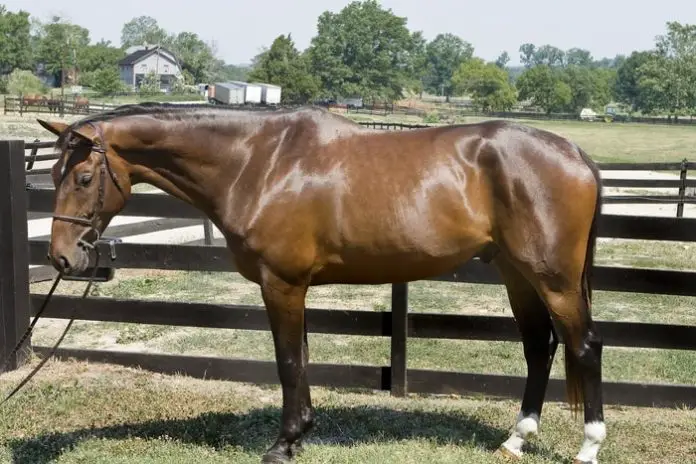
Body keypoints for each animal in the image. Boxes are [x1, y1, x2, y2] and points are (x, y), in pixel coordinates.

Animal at [36, 103, 605, 464]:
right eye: (53, 174)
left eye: (82, 178)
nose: (62, 257)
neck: (259, 162)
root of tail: (576, 153)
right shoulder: (296, 288)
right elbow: (303, 360)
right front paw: (301, 435)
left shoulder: (281, 285)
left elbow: (288, 363)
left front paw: (282, 445)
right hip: (516, 272)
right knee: (539, 347)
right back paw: (516, 440)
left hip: (553, 278)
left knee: (584, 347)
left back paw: (589, 445)